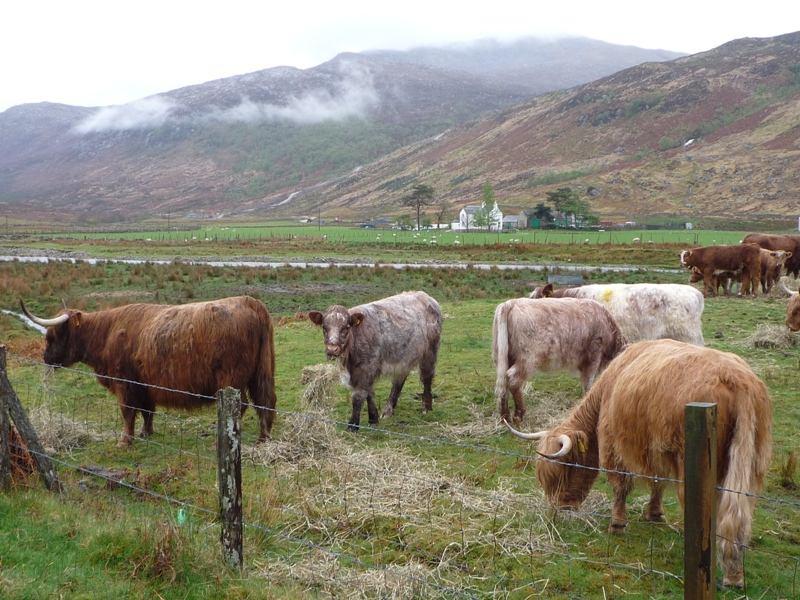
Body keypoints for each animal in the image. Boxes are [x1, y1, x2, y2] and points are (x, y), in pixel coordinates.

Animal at [21, 296, 278, 446]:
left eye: (52, 336)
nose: (46, 358)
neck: (106, 333)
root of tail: (249, 301)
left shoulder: (124, 382)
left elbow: (128, 411)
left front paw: (125, 440)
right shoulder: (144, 384)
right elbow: (146, 411)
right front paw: (146, 433)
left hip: (230, 378)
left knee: (242, 406)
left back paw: (223, 441)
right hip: (260, 372)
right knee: (265, 400)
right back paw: (263, 438)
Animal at [308, 290, 444, 432]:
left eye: (346, 327)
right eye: (324, 327)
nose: (332, 349)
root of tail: (424, 295)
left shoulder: (366, 368)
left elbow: (358, 396)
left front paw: (353, 425)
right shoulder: (366, 370)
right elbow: (370, 393)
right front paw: (373, 419)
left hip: (430, 352)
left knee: (427, 377)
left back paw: (426, 407)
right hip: (403, 358)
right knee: (398, 381)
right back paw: (388, 410)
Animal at [490, 298, 628, 422]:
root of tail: (511, 303)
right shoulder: (594, 356)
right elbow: (589, 382)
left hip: (504, 357)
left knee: (503, 383)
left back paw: (505, 416)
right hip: (528, 358)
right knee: (513, 379)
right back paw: (519, 415)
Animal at [506, 340, 776, 588]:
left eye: (566, 470)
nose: (560, 509)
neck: (608, 387)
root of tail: (736, 379)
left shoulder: (613, 444)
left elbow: (620, 486)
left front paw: (617, 525)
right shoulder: (655, 450)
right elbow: (657, 482)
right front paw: (654, 514)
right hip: (751, 463)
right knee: (739, 515)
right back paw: (734, 574)